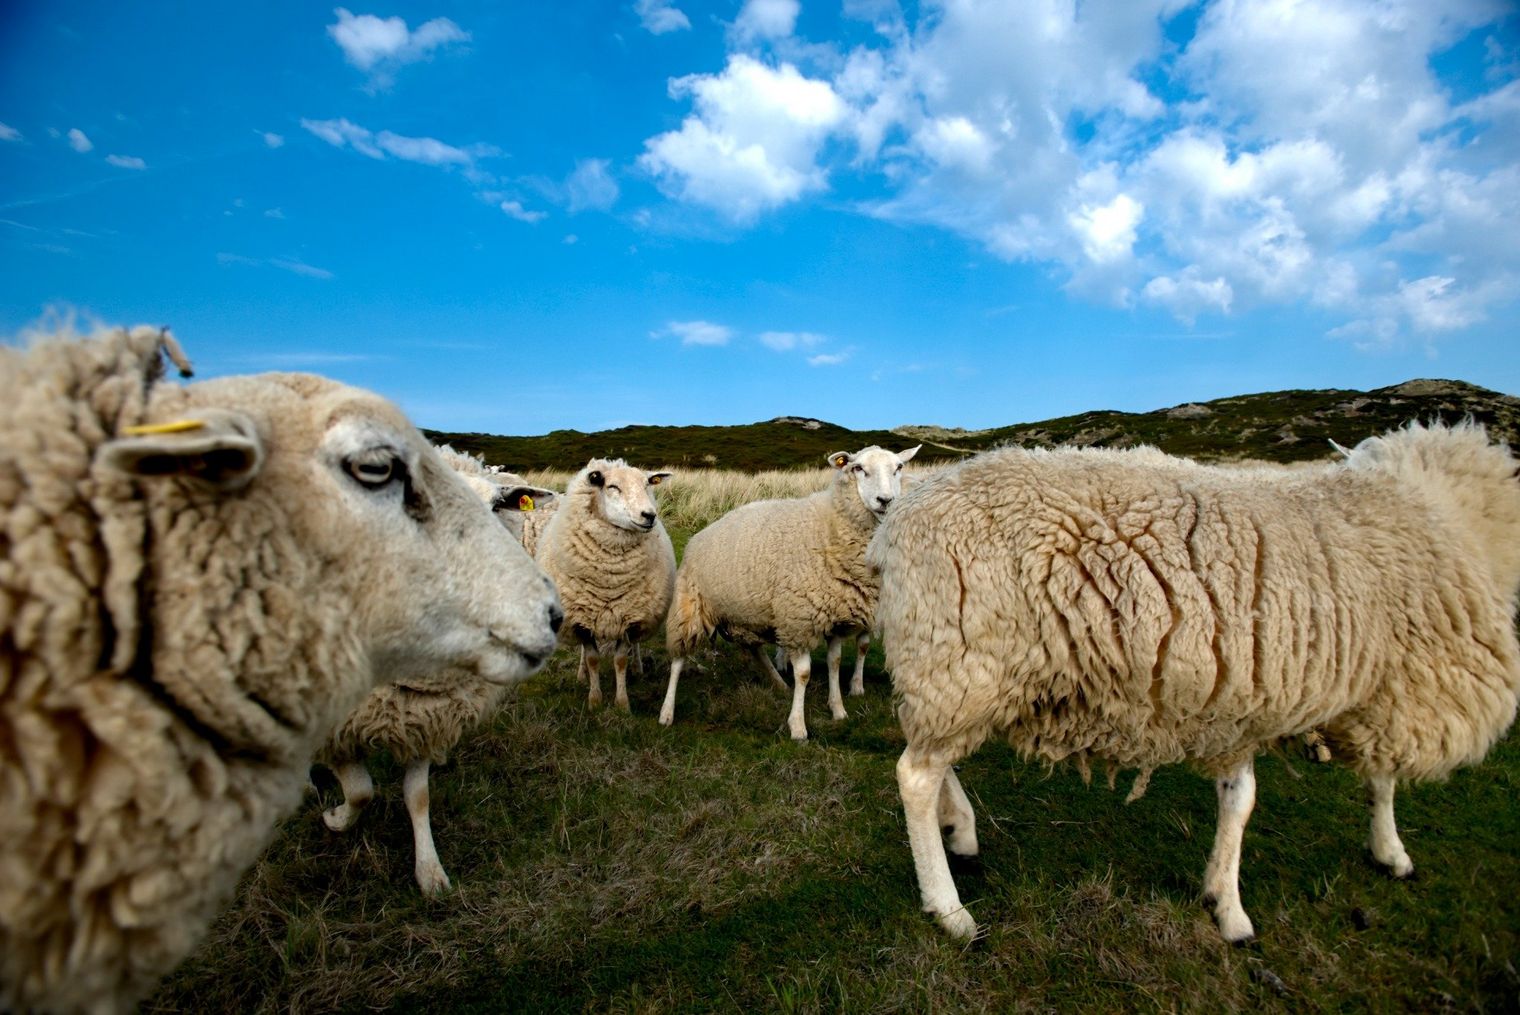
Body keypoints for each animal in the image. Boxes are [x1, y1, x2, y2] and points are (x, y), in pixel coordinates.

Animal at [316, 443, 559, 893]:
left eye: (498, 505)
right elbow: (360, 790)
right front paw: (336, 819)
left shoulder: (425, 716)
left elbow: (417, 796)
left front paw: (429, 872)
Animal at [538, 455, 674, 711]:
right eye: (612, 487)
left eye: (646, 485)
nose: (649, 515)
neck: (611, 578)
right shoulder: (581, 620)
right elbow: (592, 658)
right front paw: (595, 699)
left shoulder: (628, 617)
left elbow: (620, 660)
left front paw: (622, 703)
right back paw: (582, 674)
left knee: (635, 645)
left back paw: (637, 667)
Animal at [662, 443, 918, 738]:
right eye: (858, 468)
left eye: (898, 467)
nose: (885, 500)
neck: (830, 526)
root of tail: (700, 534)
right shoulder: (800, 619)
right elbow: (804, 673)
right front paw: (797, 726)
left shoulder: (835, 617)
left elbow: (834, 662)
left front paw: (838, 709)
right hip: (689, 605)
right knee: (678, 659)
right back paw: (667, 712)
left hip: (746, 614)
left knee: (754, 649)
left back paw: (777, 683)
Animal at [869, 422, 1520, 942]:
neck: (1434, 512)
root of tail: (900, 520)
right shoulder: (1393, 680)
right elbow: (1377, 778)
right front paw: (1388, 853)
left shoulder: (1247, 694)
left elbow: (1242, 797)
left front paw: (1223, 897)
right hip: (963, 660)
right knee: (916, 776)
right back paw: (949, 909)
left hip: (954, 667)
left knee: (931, 753)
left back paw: (961, 829)